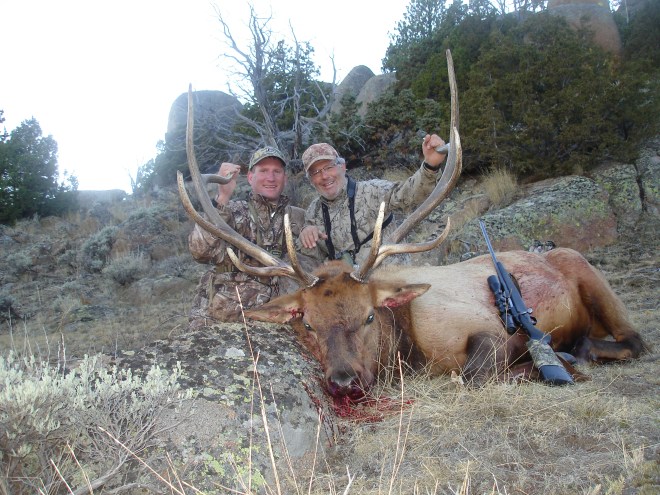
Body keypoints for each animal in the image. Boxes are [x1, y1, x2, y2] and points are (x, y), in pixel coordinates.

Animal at [178, 50, 645, 400]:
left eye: (369, 315)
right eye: (307, 323)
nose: (344, 381)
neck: (409, 348)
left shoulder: (482, 326)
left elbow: (473, 375)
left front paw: (550, 364)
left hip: (590, 275)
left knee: (633, 339)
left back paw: (577, 352)